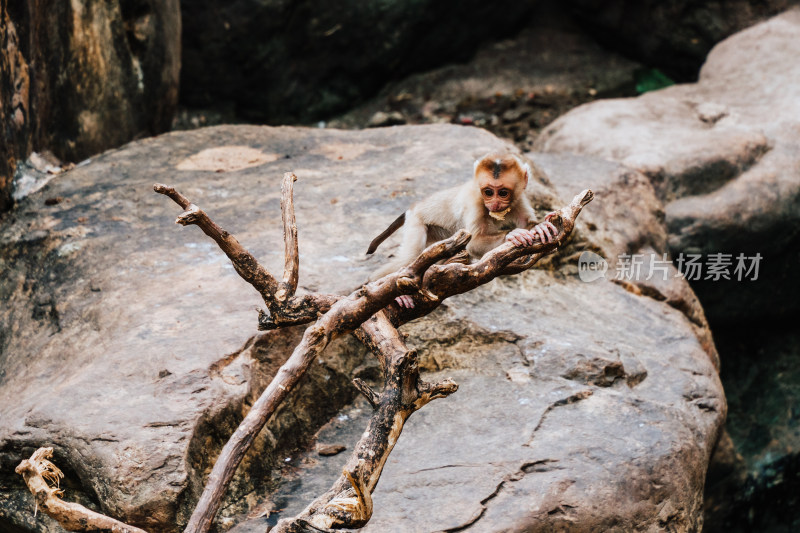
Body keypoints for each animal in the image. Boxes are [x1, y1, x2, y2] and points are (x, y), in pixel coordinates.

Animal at [368, 152, 556, 306]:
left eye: (503, 193)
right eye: (488, 192)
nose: (494, 204)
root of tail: (413, 207)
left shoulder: (519, 198)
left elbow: (526, 222)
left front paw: (540, 227)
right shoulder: (475, 201)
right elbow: (473, 244)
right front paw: (513, 235)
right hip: (416, 221)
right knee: (410, 256)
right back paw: (382, 286)